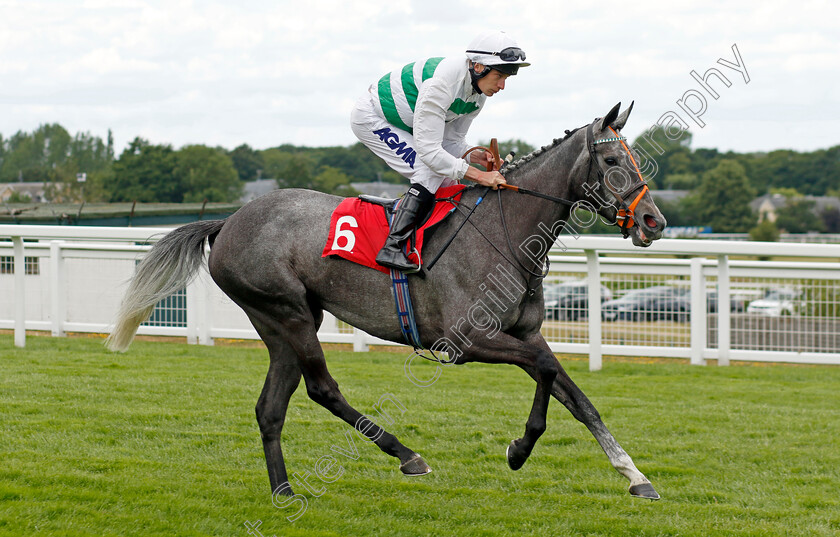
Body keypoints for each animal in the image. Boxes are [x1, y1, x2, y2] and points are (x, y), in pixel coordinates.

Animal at [106, 102, 664, 500]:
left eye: (634, 158)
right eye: (612, 160)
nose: (653, 221)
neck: (506, 233)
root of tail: (228, 222)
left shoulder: (524, 334)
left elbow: (578, 398)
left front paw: (634, 475)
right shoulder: (466, 340)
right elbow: (547, 372)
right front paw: (518, 450)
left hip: (280, 322)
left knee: (270, 406)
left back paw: (283, 490)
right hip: (288, 312)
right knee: (322, 388)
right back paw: (406, 454)